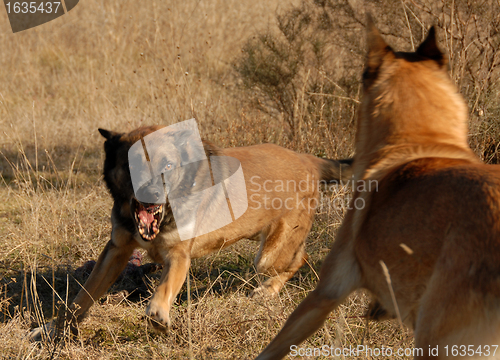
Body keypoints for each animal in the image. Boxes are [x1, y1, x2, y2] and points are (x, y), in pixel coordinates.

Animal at [29, 122, 354, 338]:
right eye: (132, 165)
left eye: (168, 166)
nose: (151, 194)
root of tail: (308, 159)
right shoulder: (116, 250)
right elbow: (80, 298)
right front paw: (50, 330)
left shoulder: (178, 255)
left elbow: (163, 289)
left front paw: (157, 316)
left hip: (269, 255)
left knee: (300, 259)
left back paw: (267, 291)